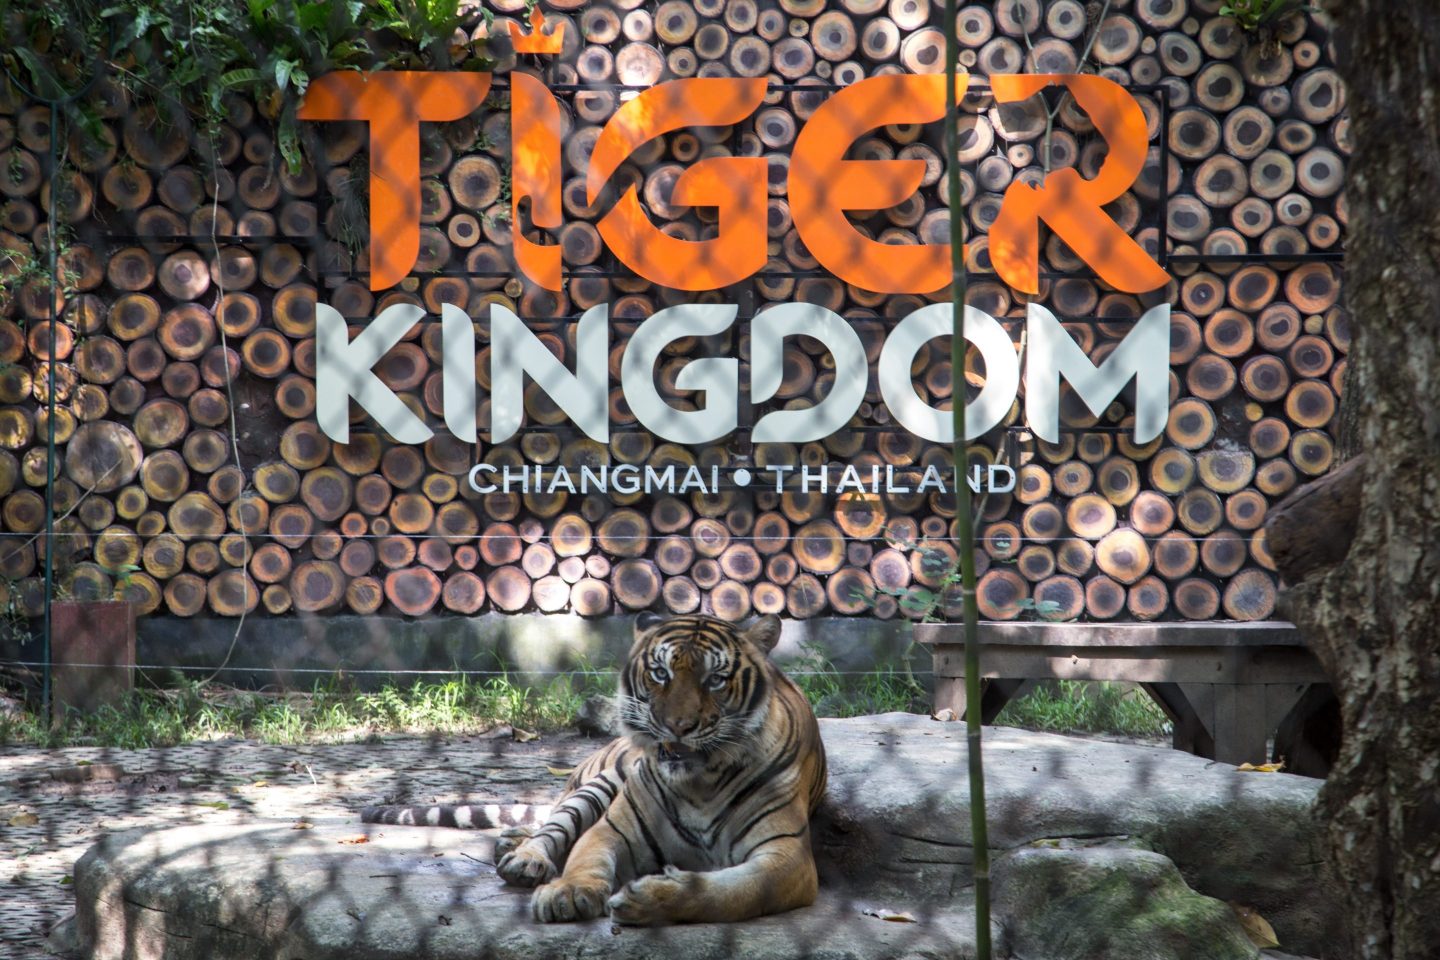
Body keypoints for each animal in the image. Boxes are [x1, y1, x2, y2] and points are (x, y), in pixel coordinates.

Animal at [361, 612, 828, 926]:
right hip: (602, 783)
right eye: (660, 674)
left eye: (715, 680)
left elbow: (732, 893)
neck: (701, 783)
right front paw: (568, 894)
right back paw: (521, 855)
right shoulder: (614, 827)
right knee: (553, 825)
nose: (676, 725)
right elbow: (584, 856)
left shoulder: (786, 857)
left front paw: (652, 900)